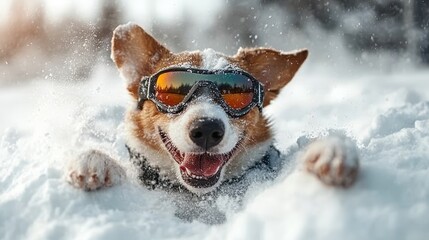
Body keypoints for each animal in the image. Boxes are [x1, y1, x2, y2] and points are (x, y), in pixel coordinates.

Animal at [66, 22, 358, 221]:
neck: (200, 197)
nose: (206, 129)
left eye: (236, 91)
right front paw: (95, 161)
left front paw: (332, 151)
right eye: (173, 90)